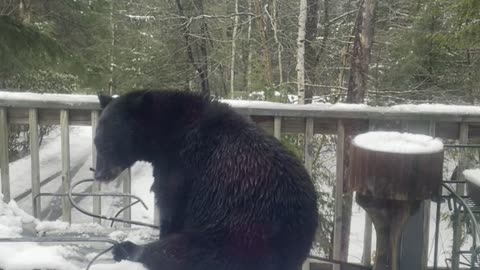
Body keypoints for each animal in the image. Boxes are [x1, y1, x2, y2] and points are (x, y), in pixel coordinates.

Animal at [94, 90, 318, 270]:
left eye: (108, 144)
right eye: (97, 142)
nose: (99, 175)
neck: (167, 133)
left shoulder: (181, 167)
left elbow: (171, 207)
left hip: (232, 237)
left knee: (174, 251)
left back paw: (126, 249)